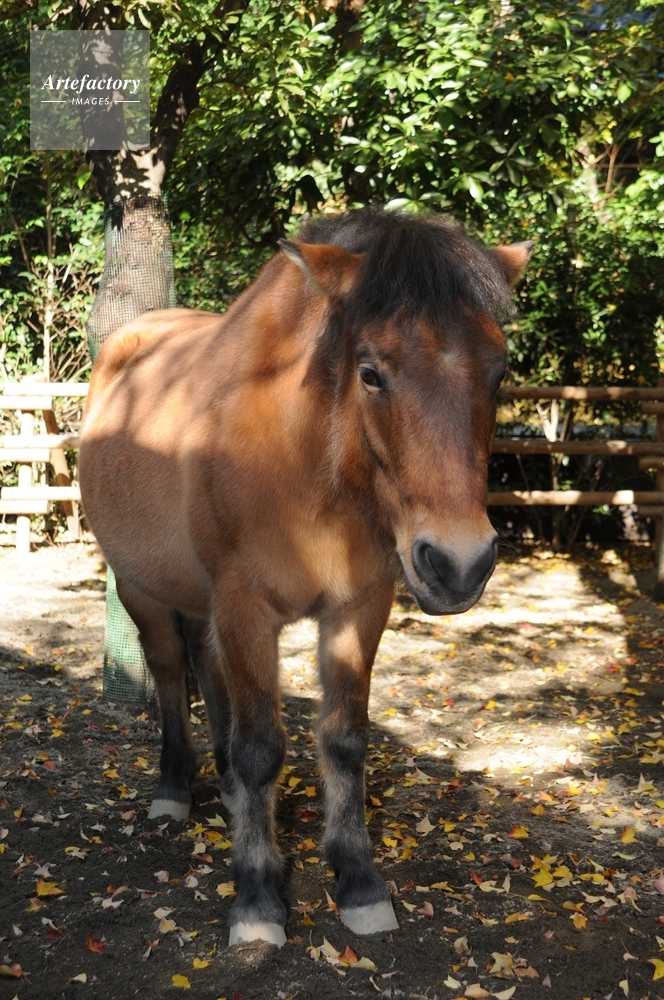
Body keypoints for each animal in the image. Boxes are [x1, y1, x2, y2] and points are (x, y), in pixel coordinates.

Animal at [79, 208, 532, 948]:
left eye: (498, 373)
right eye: (371, 373)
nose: (460, 563)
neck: (306, 464)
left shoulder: (359, 606)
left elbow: (344, 741)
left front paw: (358, 881)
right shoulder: (245, 607)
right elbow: (262, 746)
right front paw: (258, 896)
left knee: (207, 669)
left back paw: (226, 790)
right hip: (140, 586)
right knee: (172, 670)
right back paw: (175, 789)